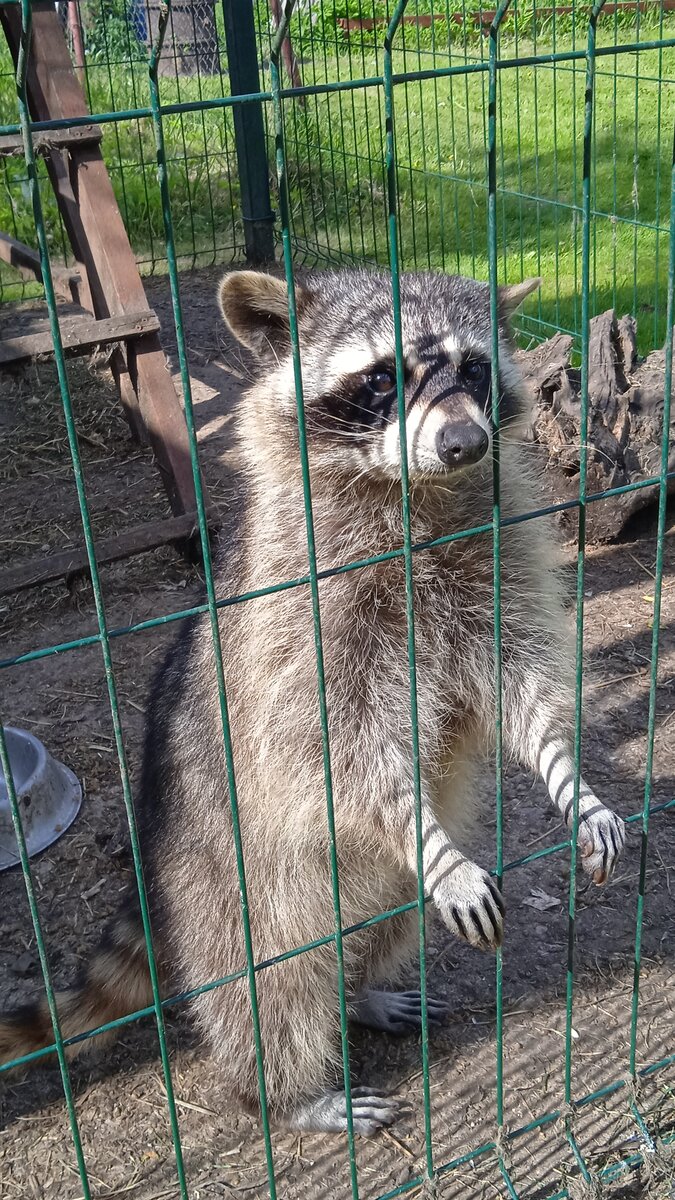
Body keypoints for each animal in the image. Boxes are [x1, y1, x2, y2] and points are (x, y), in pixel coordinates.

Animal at [0, 270, 624, 1132]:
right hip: (231, 880)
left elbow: (523, 681)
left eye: (471, 369)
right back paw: (286, 1093)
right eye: (383, 379)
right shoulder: (299, 622)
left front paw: (569, 775)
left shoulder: (499, 568)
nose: (463, 444)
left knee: (383, 920)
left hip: (357, 883)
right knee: (272, 986)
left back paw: (359, 991)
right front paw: (431, 843)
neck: (411, 499)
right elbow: (339, 745)